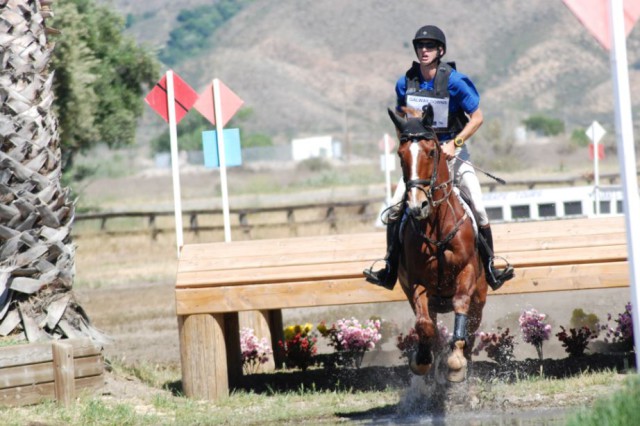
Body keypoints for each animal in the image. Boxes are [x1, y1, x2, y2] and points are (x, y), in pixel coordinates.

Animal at [388, 107, 488, 382]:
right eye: (400, 155)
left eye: (432, 152)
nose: (417, 206)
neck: (436, 227)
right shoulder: (416, 282)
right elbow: (424, 326)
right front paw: (422, 360)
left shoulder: (467, 272)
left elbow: (460, 303)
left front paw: (455, 361)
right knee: (429, 322)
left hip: (480, 298)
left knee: (471, 330)